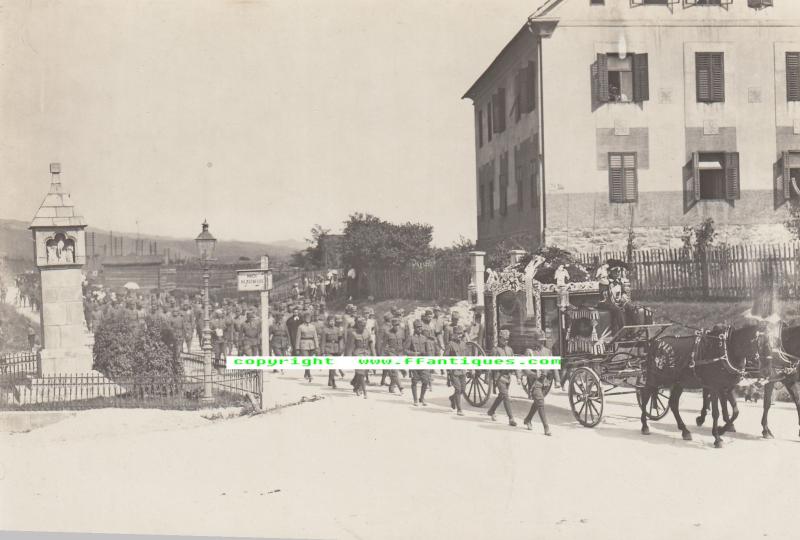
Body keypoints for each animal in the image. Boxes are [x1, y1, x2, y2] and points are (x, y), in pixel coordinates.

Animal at [636, 324, 764, 448]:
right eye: (752, 341)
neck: (724, 349)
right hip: (654, 378)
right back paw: (644, 425)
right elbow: (716, 412)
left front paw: (722, 430)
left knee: (673, 403)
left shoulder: (726, 388)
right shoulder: (714, 387)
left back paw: (685, 430)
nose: (759, 365)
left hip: (678, 383)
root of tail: (655, 342)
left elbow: (734, 411)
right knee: (646, 396)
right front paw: (717, 437)